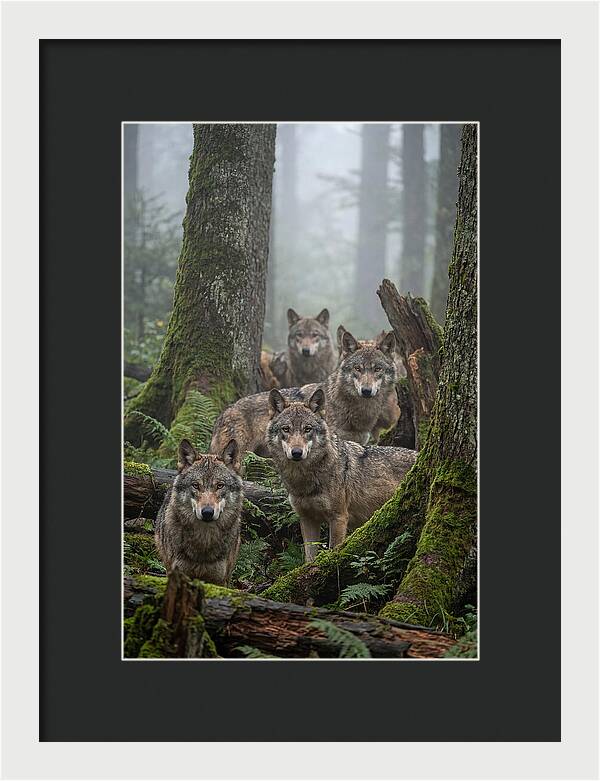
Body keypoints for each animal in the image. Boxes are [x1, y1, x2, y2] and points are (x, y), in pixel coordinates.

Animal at [266, 387, 416, 561]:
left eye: (307, 429)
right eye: (286, 429)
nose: (297, 453)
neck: (303, 480)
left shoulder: (338, 518)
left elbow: (333, 550)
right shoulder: (307, 519)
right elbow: (309, 558)